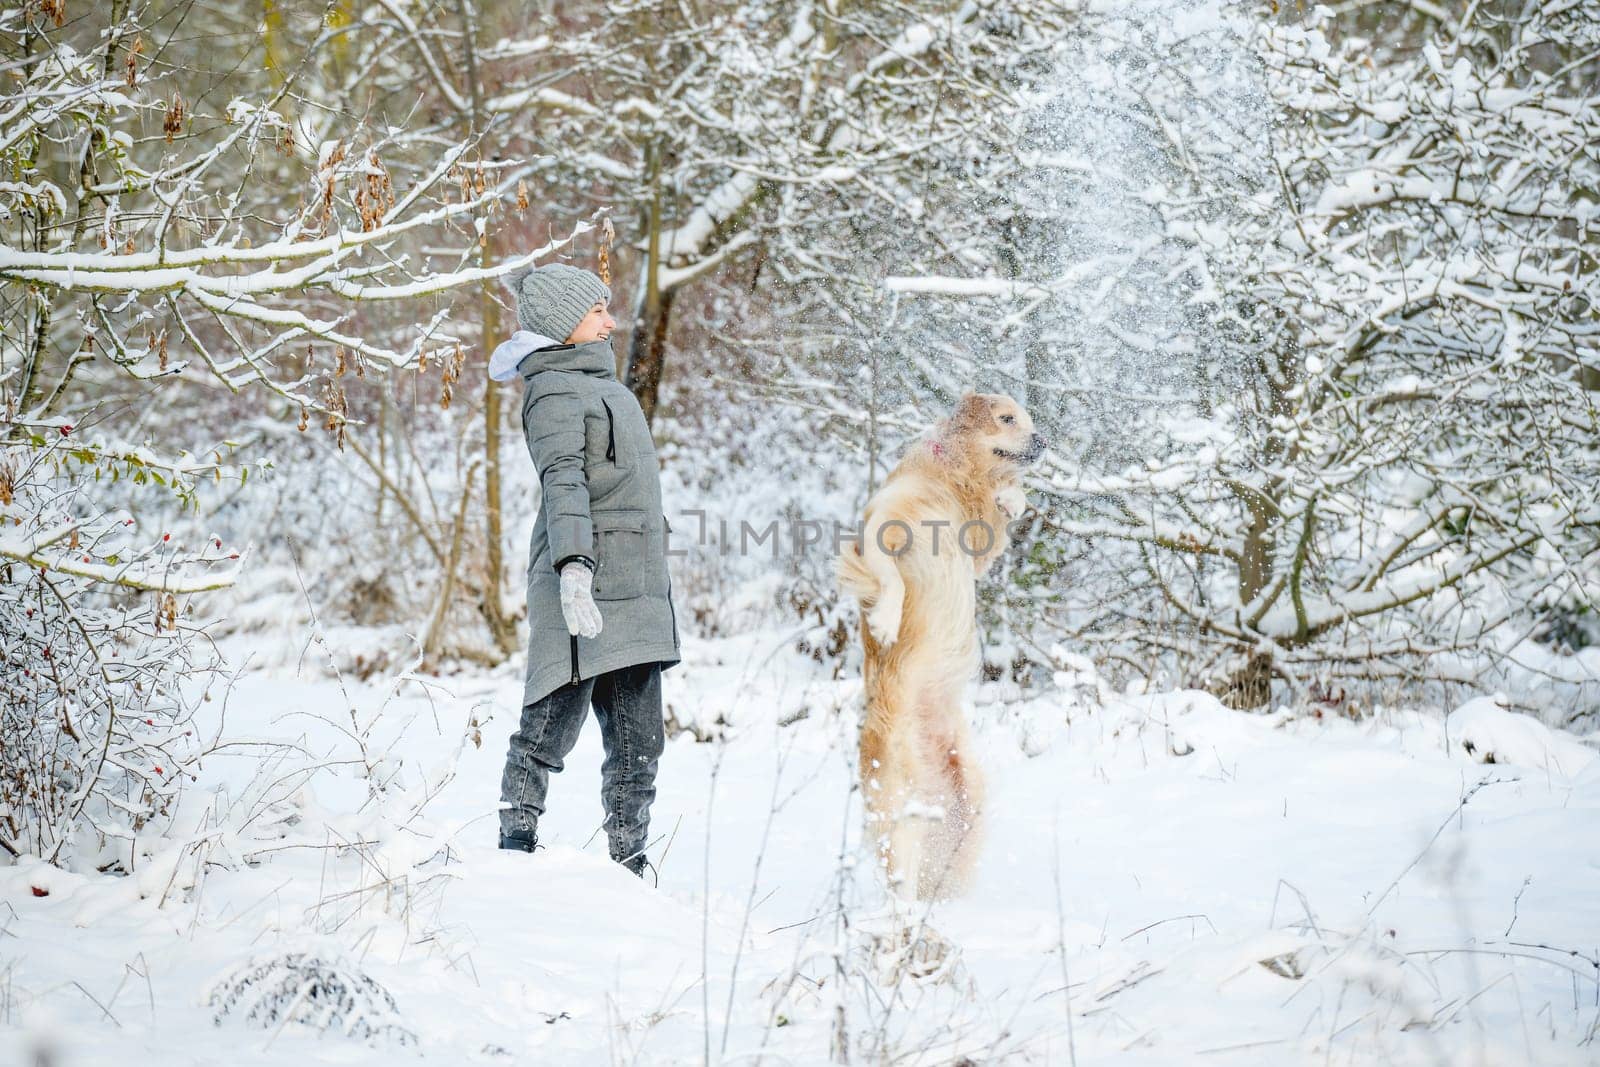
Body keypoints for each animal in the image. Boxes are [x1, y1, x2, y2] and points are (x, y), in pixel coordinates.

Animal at [838, 391, 1049, 902]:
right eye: (1007, 418)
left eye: (1029, 420)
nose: (1044, 441)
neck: (949, 481)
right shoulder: (881, 529)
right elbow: (889, 577)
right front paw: (886, 620)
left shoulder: (974, 554)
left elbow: (997, 523)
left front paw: (1011, 499)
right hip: (900, 813)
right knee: (901, 883)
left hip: (966, 805)